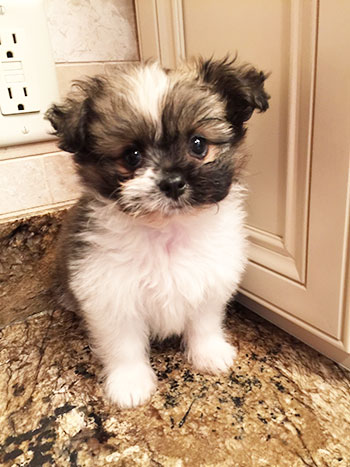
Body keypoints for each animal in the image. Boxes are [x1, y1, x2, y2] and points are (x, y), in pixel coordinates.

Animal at [45, 58, 268, 410]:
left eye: (198, 144)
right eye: (131, 156)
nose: (173, 182)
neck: (166, 231)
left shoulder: (210, 279)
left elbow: (204, 322)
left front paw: (208, 354)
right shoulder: (110, 293)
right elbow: (124, 344)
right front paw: (130, 383)